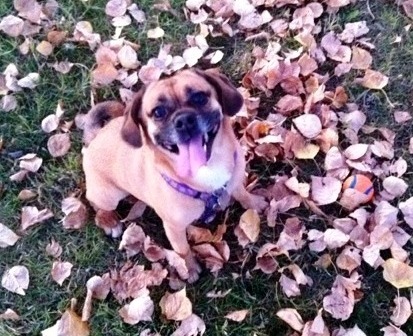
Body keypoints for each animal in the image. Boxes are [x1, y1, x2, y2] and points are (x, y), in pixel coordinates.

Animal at [81, 68, 268, 280]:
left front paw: (254, 204)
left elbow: (242, 193)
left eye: (199, 97)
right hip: (110, 195)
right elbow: (183, 250)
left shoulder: (234, 180)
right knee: (95, 204)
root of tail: (95, 137)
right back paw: (109, 221)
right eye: (158, 112)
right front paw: (190, 268)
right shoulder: (174, 228)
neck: (207, 171)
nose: (184, 120)